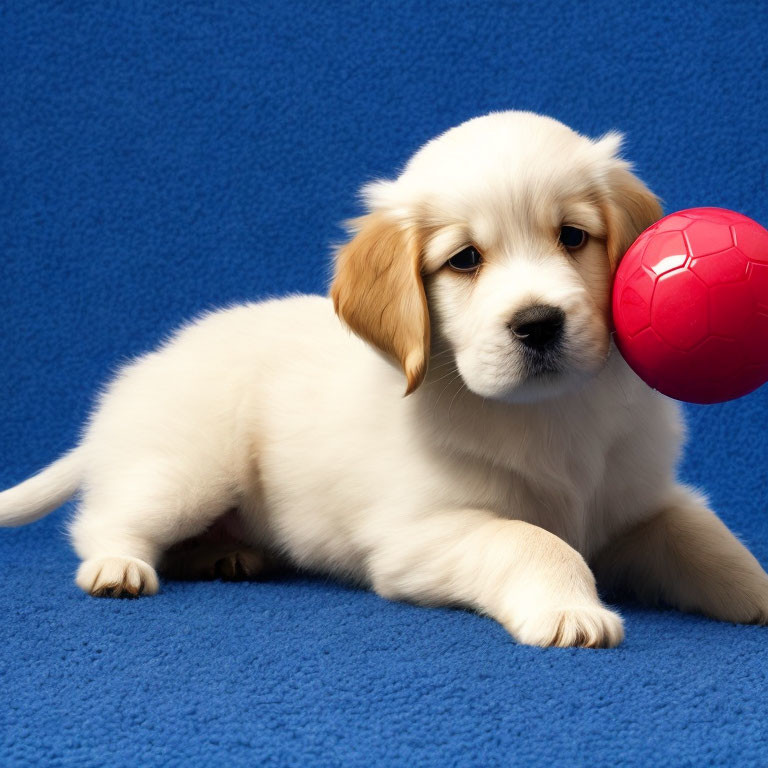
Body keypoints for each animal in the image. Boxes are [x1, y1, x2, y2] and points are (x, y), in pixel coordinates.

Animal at [1, 111, 768, 644]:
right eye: (464, 260)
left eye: (573, 237)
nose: (538, 324)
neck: (549, 416)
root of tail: (144, 369)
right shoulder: (419, 535)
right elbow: (530, 539)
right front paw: (571, 608)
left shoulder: (641, 503)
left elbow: (705, 538)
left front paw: (756, 591)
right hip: (187, 471)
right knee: (105, 520)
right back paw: (118, 568)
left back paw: (229, 555)